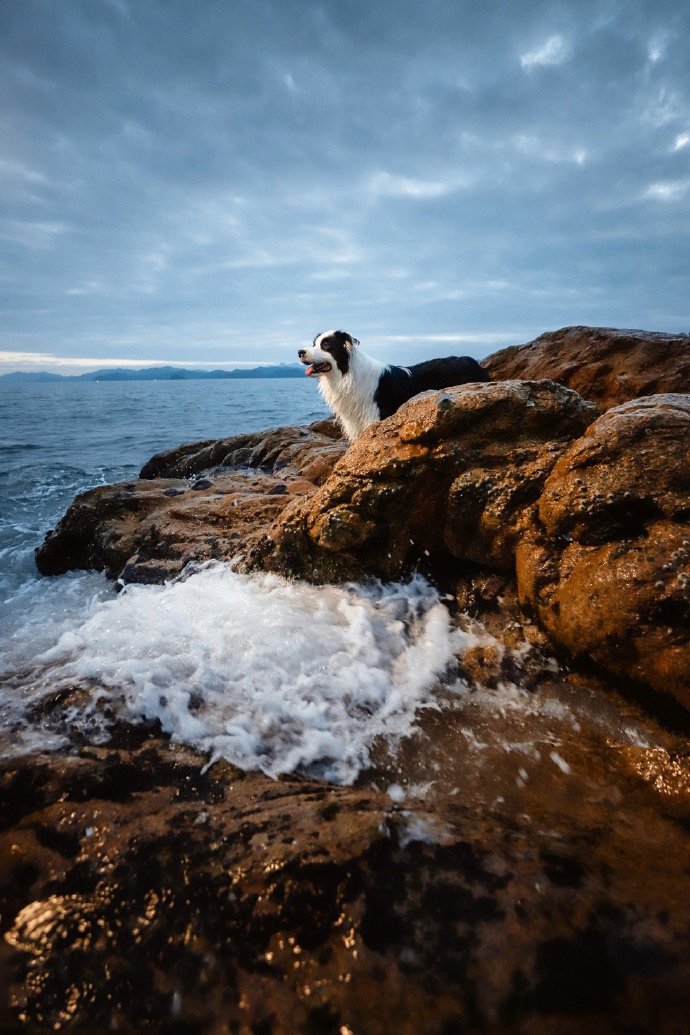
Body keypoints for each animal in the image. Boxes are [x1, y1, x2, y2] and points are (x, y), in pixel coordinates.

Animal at [300, 331, 488, 440]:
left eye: (326, 345)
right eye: (314, 344)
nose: (300, 352)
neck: (346, 374)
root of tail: (471, 360)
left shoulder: (375, 419)